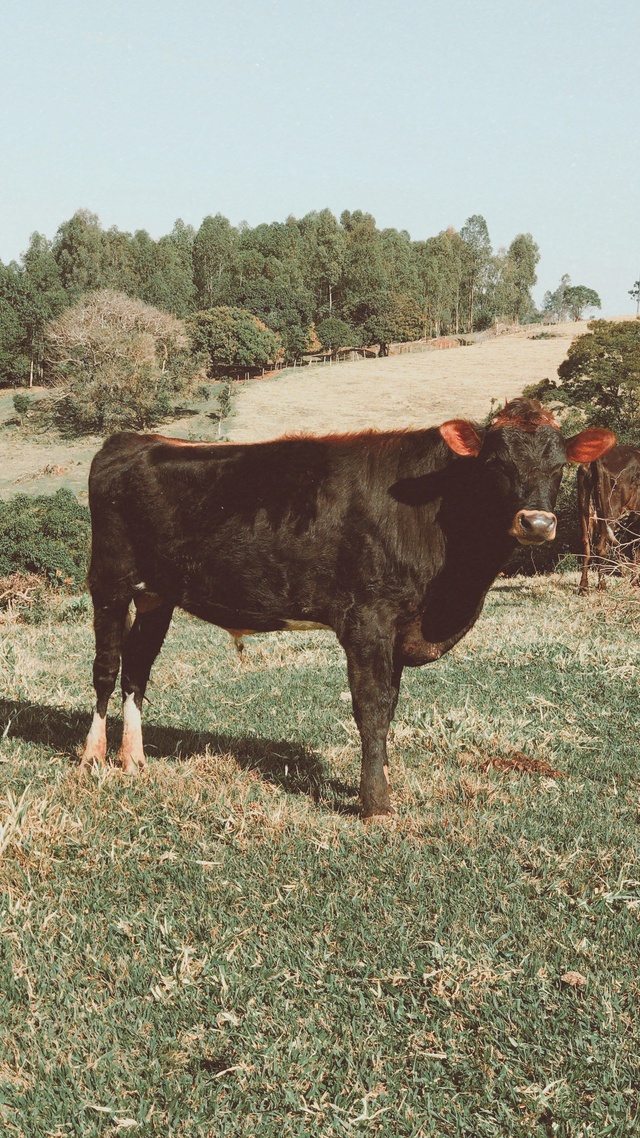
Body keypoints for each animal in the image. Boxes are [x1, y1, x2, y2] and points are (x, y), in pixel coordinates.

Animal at [80, 400, 614, 819]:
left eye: (559, 465)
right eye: (496, 463)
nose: (537, 522)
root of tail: (131, 440)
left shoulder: (399, 627)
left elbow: (391, 705)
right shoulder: (368, 619)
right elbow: (372, 707)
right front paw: (376, 803)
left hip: (156, 593)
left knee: (137, 670)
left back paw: (134, 759)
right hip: (109, 580)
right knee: (106, 669)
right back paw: (92, 756)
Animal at [576, 441, 640, 596]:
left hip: (584, 508)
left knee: (586, 546)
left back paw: (583, 587)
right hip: (610, 511)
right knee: (601, 547)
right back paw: (602, 585)